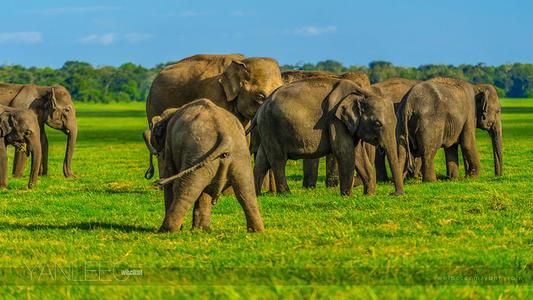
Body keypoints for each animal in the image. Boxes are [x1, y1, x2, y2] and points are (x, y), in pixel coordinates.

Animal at [143, 98, 264, 232]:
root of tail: (225, 136)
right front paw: (201, 229)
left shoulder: (169, 144)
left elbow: (171, 179)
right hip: (238, 155)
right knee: (246, 190)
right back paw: (257, 231)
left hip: (199, 152)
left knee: (187, 189)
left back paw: (166, 230)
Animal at [252, 78, 404, 197]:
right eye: (377, 124)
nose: (394, 194)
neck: (362, 94)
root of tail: (261, 108)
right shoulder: (335, 120)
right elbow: (344, 152)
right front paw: (348, 196)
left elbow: (358, 155)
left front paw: (368, 195)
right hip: (271, 125)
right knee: (278, 160)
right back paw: (286, 194)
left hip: (267, 129)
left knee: (263, 159)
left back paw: (258, 195)